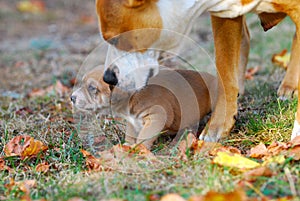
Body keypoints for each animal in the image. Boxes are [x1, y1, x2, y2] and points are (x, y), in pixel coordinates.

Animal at [70, 66, 216, 148]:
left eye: (92, 88)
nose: (71, 98)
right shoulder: (131, 121)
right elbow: (130, 134)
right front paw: (127, 145)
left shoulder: (157, 117)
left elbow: (144, 135)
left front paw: (138, 149)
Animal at [95, 0, 300, 141]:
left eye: (115, 39)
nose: (108, 77)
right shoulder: (224, 14)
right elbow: (225, 72)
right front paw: (218, 125)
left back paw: (290, 86)